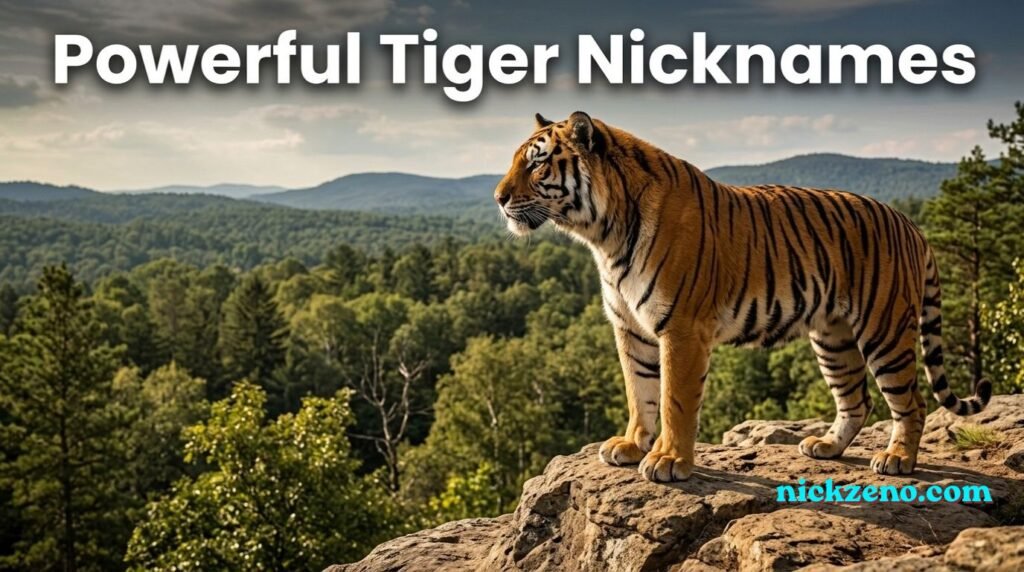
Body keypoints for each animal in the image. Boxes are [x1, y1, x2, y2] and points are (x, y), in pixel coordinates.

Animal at [493, 111, 992, 482]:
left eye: (537, 164)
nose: (498, 198)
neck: (604, 235)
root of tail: (910, 224)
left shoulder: (681, 329)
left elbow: (674, 400)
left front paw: (668, 461)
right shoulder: (630, 329)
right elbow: (640, 392)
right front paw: (632, 445)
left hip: (884, 331)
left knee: (911, 402)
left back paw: (897, 459)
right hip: (833, 337)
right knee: (857, 400)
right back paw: (826, 447)